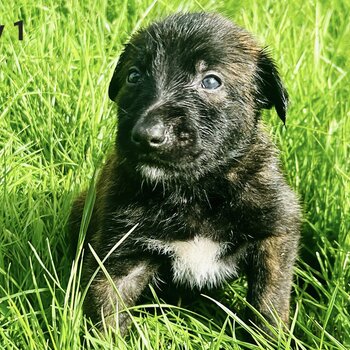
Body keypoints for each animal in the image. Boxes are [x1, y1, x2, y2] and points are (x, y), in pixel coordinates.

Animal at [69, 12, 300, 334]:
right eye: (134, 76)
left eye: (211, 81)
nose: (146, 135)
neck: (193, 191)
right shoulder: (121, 254)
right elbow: (106, 312)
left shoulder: (276, 234)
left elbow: (269, 302)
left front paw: (268, 338)